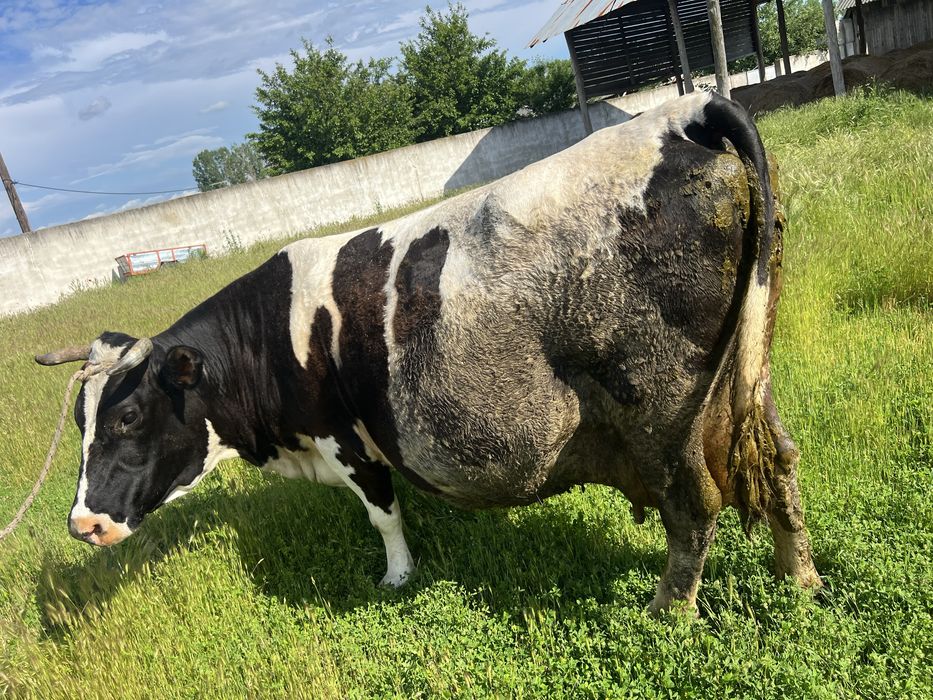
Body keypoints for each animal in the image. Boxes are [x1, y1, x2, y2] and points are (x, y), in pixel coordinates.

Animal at [37, 93, 822, 613]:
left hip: (659, 401)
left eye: (128, 417)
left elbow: (383, 513)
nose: (83, 524)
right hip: (746, 378)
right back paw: (800, 578)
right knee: (779, 462)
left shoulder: (343, 436)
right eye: (80, 421)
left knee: (693, 501)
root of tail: (680, 113)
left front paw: (397, 577)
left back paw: (668, 613)